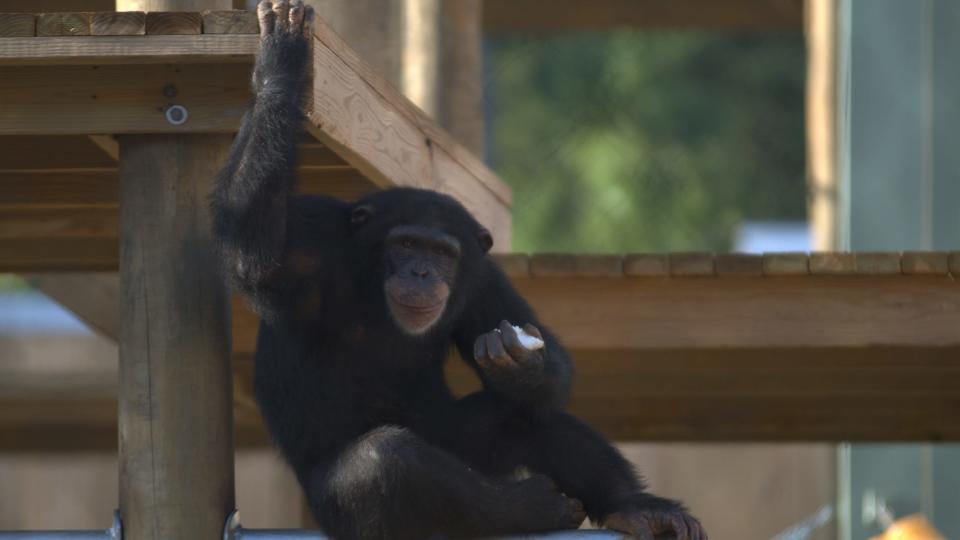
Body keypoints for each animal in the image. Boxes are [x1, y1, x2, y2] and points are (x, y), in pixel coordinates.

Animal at [210, 2, 704, 536]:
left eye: (442, 253)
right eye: (406, 244)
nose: (422, 273)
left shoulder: (483, 280)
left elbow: (552, 372)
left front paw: (521, 361)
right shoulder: (310, 240)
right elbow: (251, 252)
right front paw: (281, 65)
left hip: (464, 443)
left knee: (525, 420)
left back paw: (634, 506)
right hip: (337, 510)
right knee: (387, 462)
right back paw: (530, 507)